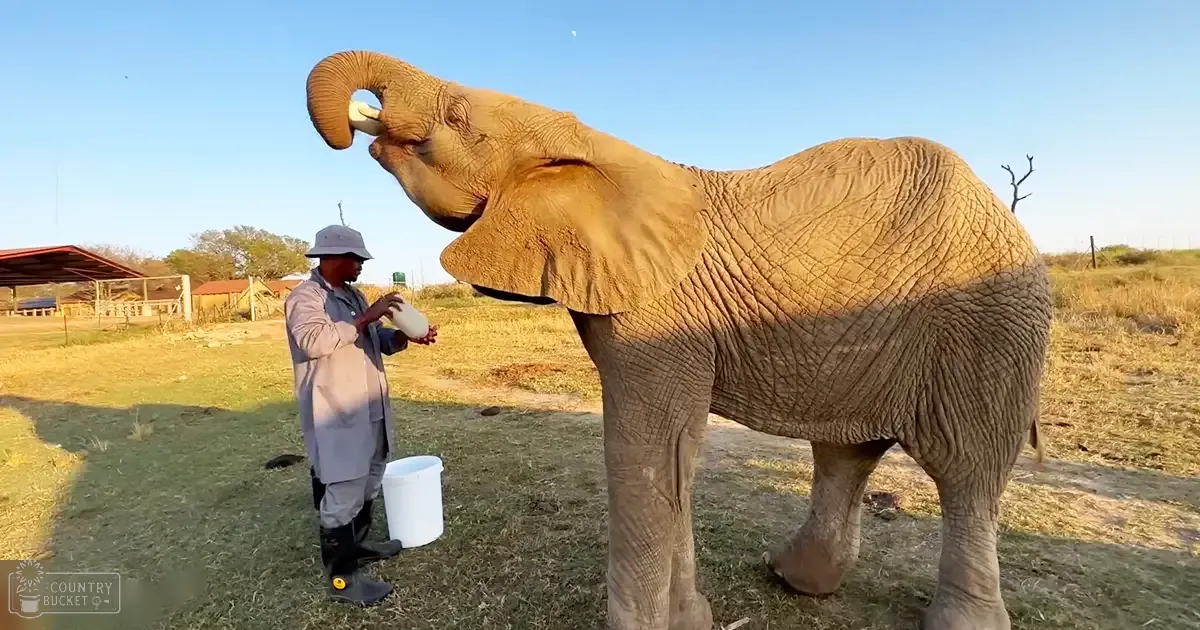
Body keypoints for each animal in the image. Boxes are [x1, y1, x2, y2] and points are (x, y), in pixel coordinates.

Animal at [304, 50, 1053, 630]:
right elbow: (676, 456)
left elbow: (646, 447)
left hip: (988, 326)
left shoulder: (658, 315)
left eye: (457, 116)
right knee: (847, 452)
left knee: (966, 471)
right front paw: (692, 620)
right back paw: (795, 578)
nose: (348, 130)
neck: (590, 144)